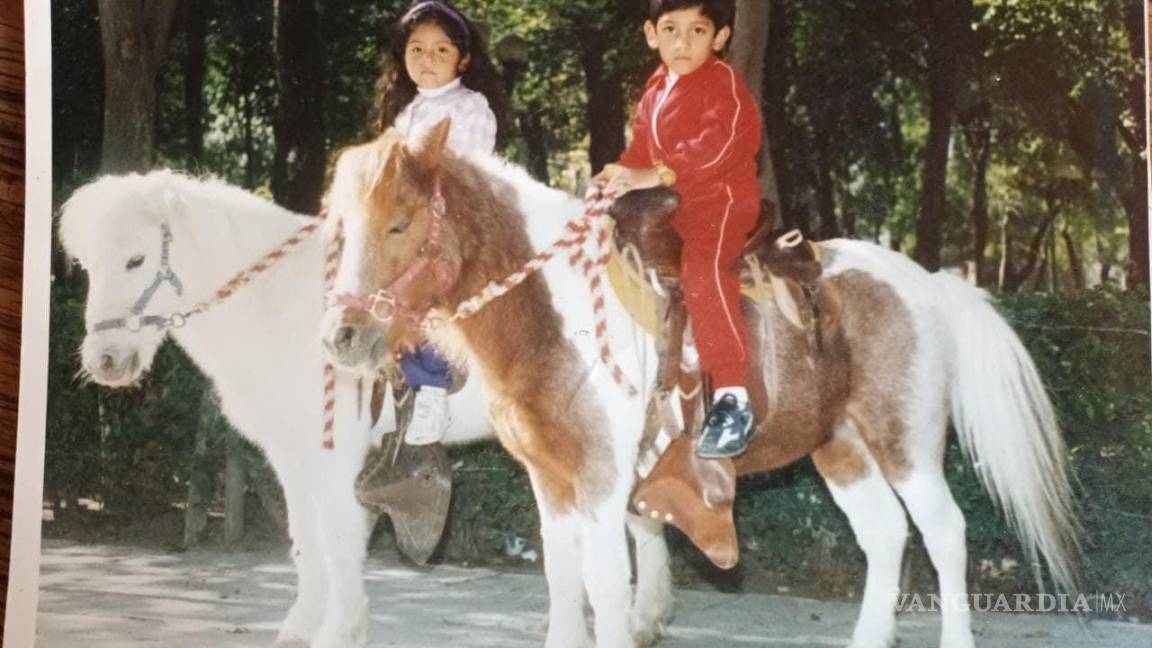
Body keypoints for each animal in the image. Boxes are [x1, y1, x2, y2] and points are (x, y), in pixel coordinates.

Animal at [322, 122, 1078, 645]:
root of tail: (929, 282)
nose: (342, 335)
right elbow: (564, 583)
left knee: (945, 534)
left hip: (906, 444)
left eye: (399, 223)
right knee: (887, 535)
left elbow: (606, 584)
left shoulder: (602, 484)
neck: (559, 314)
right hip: (842, 448)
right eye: (342, 226)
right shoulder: (552, 483)